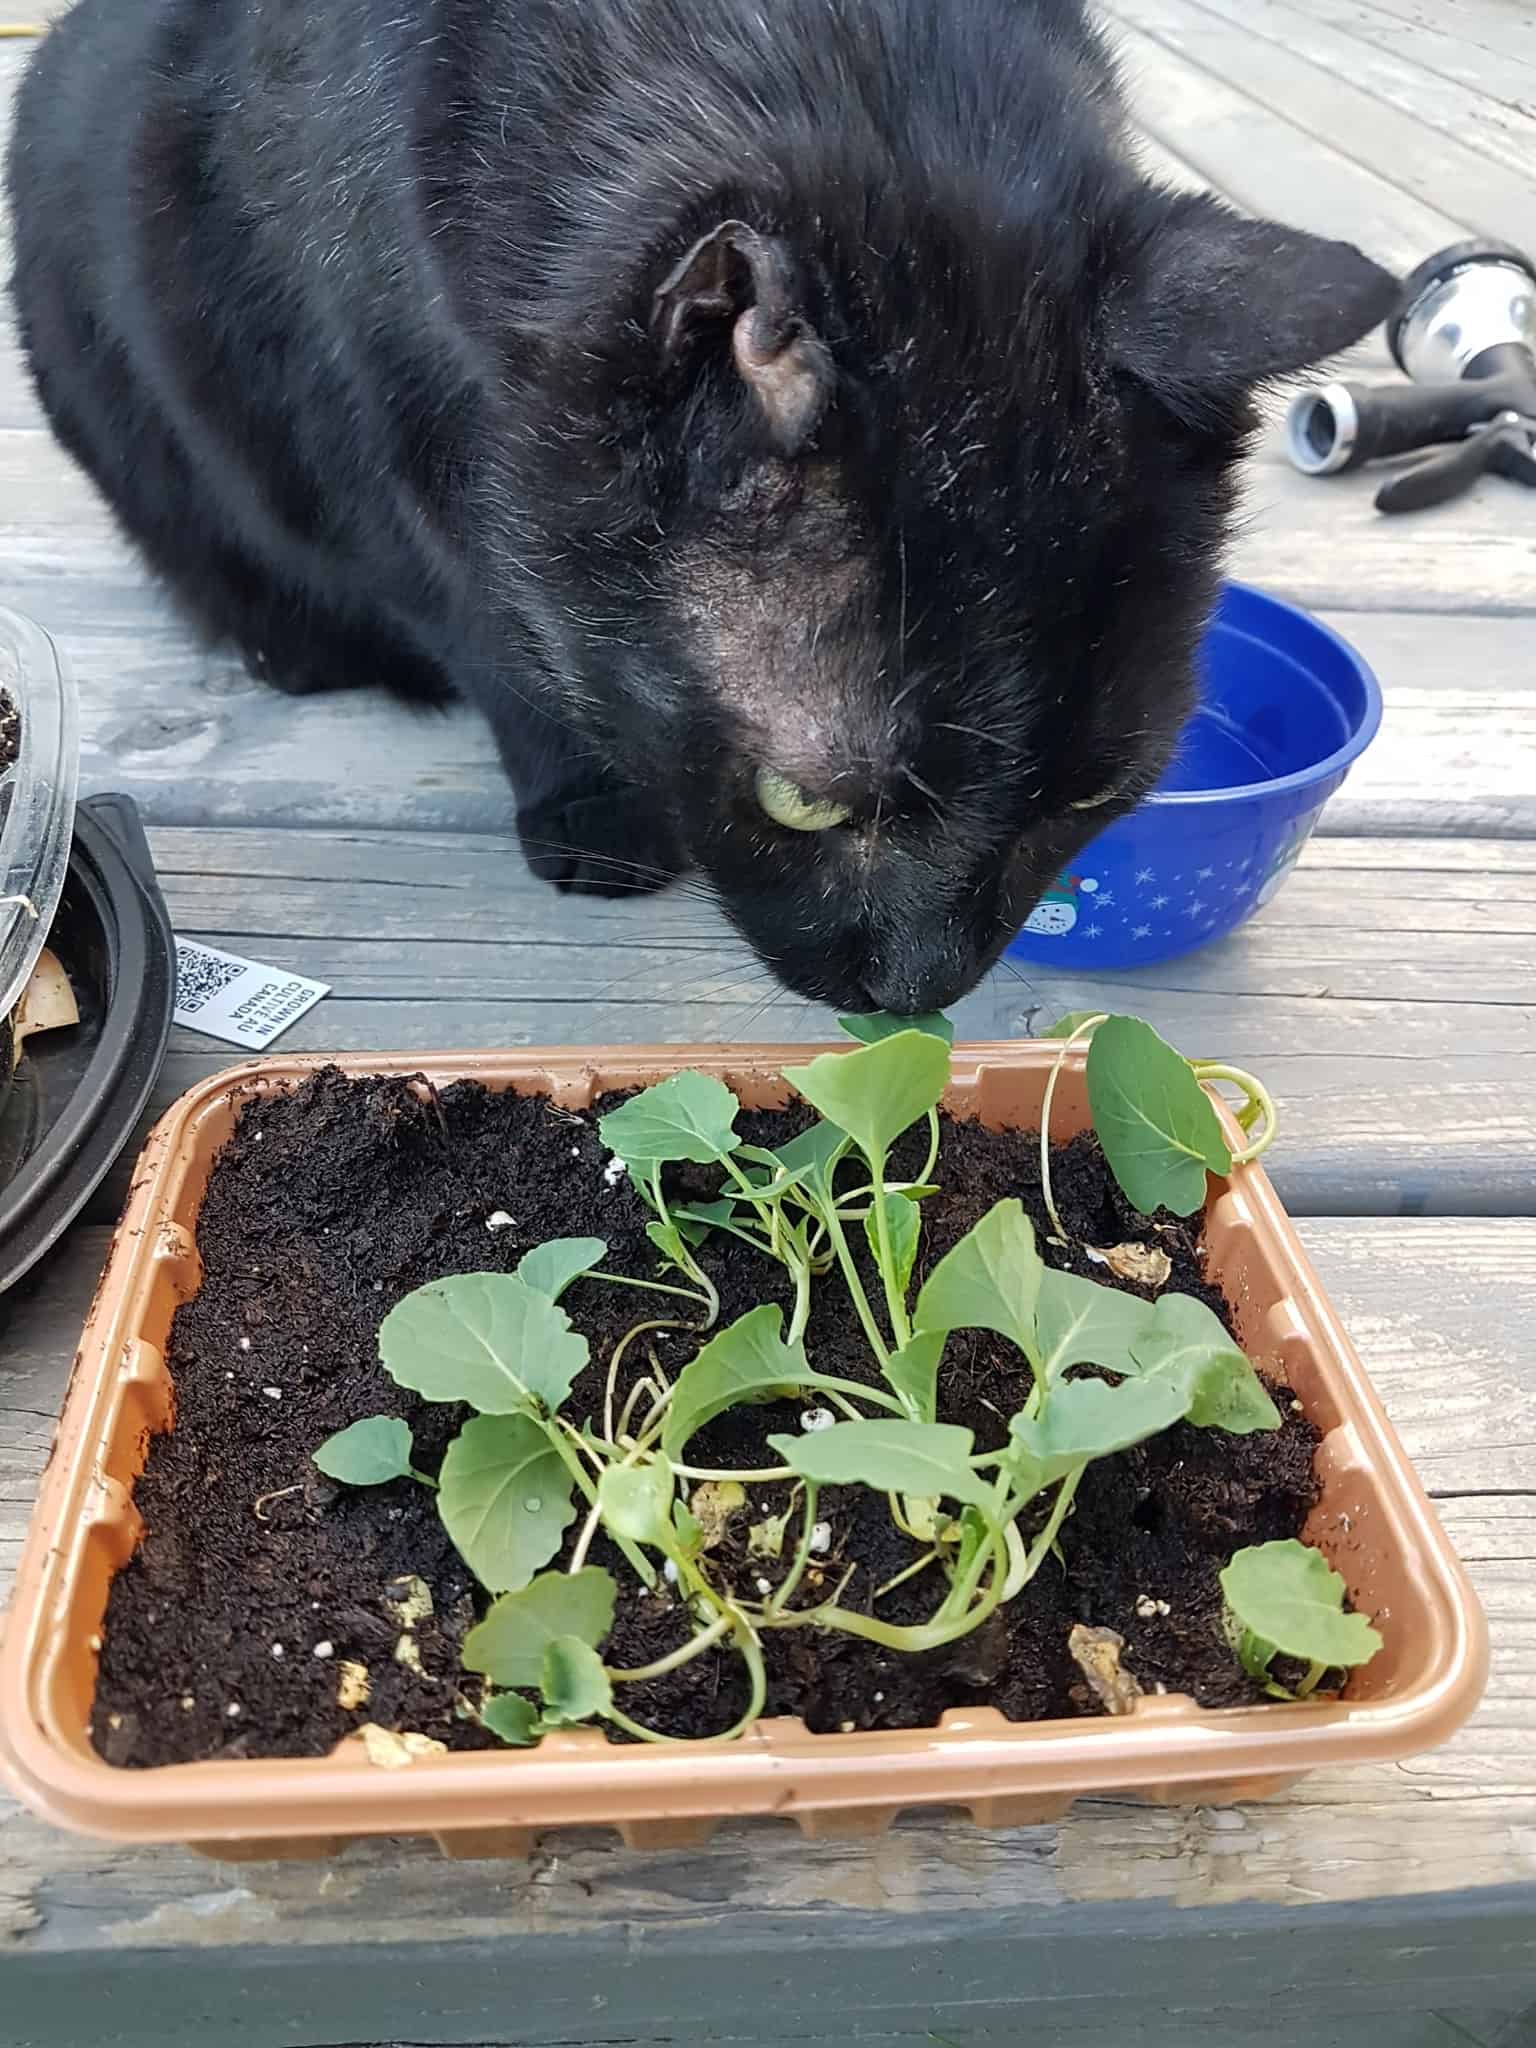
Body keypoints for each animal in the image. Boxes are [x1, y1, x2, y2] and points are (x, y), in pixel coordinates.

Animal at [6, 0, 1392, 1011]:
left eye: (1088, 802)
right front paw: (591, 809)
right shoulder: (394, 449)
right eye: (800, 804)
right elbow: (494, 622)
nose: (916, 988)